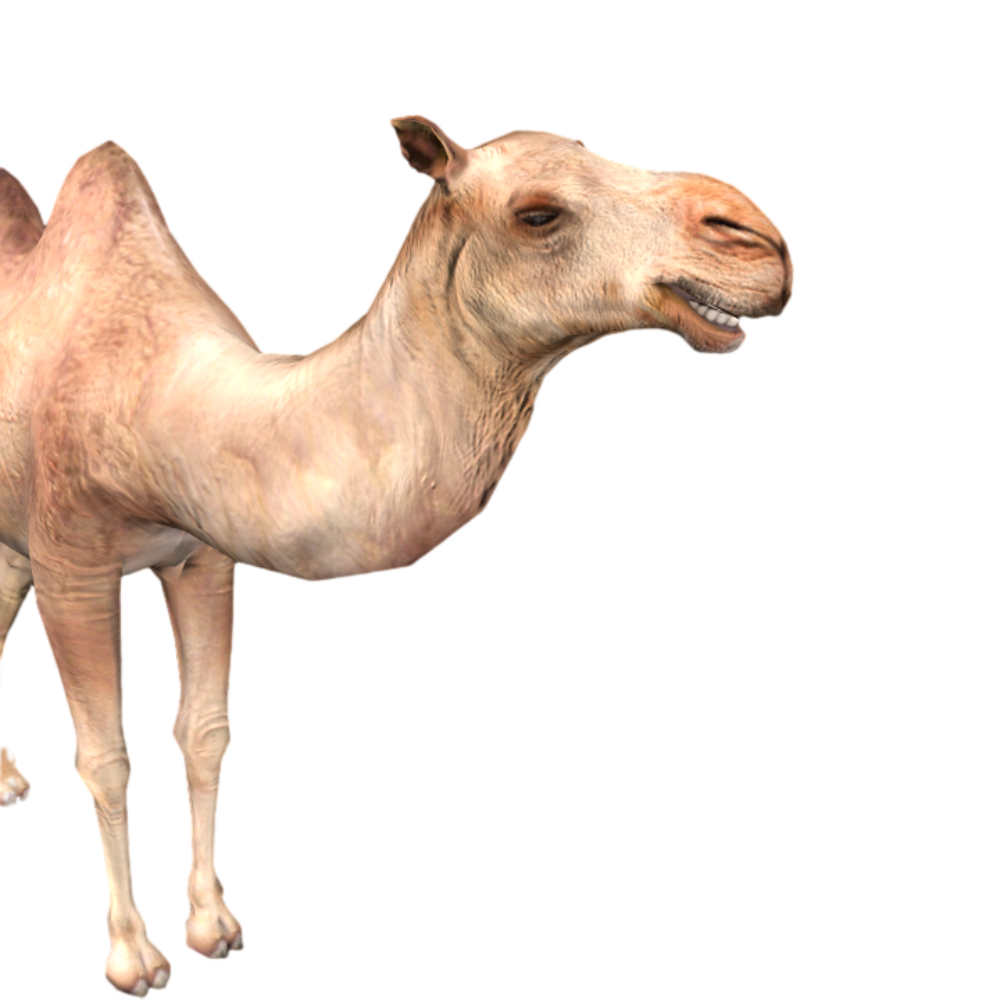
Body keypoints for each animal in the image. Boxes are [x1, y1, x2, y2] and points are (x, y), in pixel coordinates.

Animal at [0, 116, 794, 995]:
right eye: (538, 214)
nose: (759, 241)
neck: (163, 399)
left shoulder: (201, 557)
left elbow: (204, 731)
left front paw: (213, 925)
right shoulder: (74, 565)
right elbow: (107, 758)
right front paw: (133, 958)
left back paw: (6, 779)